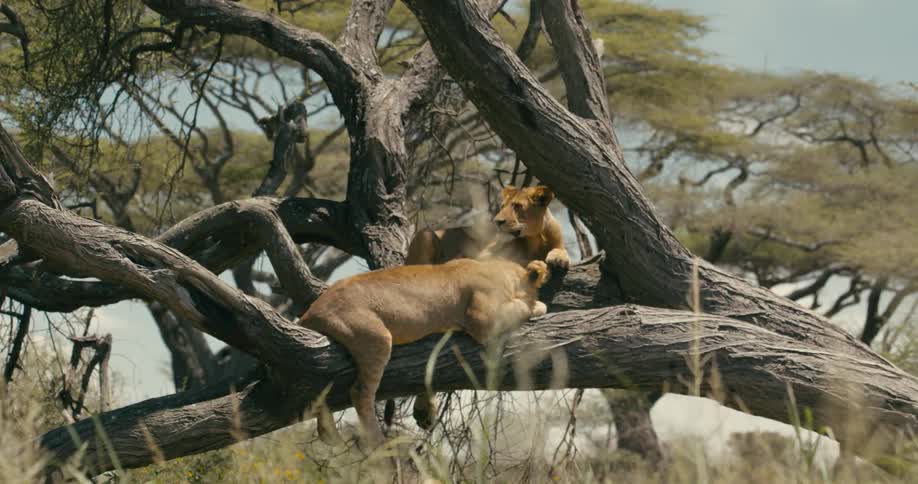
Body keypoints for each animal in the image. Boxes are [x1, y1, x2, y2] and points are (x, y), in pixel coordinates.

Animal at [297, 258, 551, 448]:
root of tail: (309, 314)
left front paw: (426, 412)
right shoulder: (482, 319)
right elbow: (520, 307)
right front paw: (538, 305)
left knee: (321, 387)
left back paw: (328, 434)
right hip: (375, 336)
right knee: (359, 392)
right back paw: (377, 440)